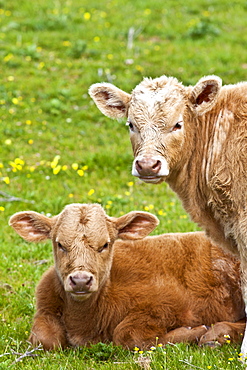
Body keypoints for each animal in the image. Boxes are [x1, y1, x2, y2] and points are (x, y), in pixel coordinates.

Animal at [9, 202, 245, 350]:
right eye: (60, 244)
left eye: (105, 244)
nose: (81, 280)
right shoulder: (45, 307)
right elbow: (45, 340)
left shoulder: (164, 305)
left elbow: (127, 335)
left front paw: (193, 331)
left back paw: (216, 334)